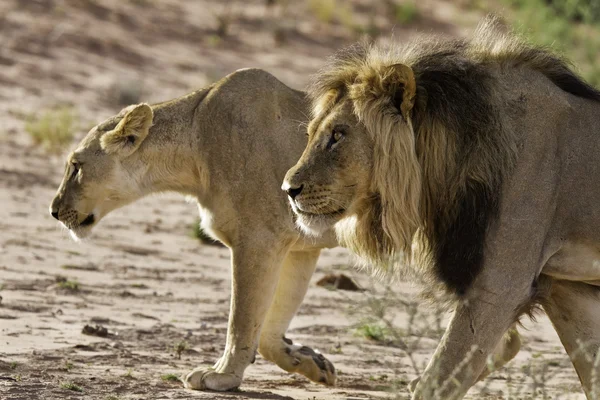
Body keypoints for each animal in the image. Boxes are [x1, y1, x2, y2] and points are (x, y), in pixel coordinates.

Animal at [48, 68, 340, 390]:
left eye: (76, 166)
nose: (53, 211)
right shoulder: (300, 246)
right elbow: (269, 327)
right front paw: (311, 362)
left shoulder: (258, 239)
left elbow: (241, 318)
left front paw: (223, 375)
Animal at [284, 16, 600, 400]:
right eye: (312, 133)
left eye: (338, 135)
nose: (288, 190)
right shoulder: (569, 291)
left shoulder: (498, 287)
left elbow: (437, 380)